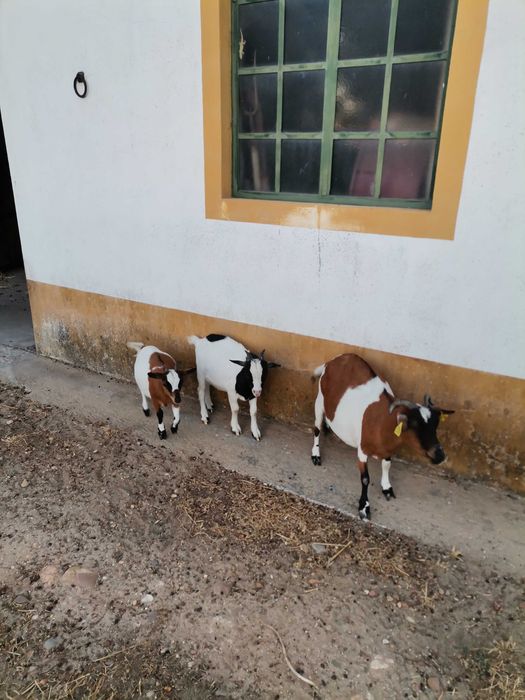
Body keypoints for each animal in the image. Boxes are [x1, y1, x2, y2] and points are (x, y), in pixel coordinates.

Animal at [311, 353, 454, 520]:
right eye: (414, 425)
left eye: (436, 425)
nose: (440, 455)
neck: (382, 423)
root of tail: (334, 360)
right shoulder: (362, 449)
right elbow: (365, 479)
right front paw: (364, 507)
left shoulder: (388, 450)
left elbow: (387, 465)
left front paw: (387, 488)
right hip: (319, 401)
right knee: (316, 428)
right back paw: (316, 454)